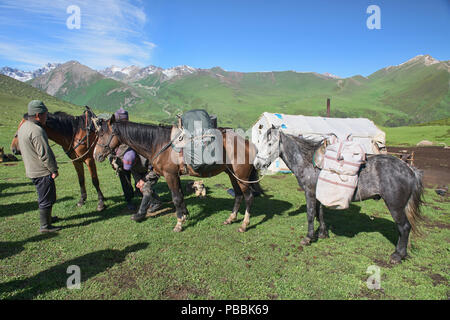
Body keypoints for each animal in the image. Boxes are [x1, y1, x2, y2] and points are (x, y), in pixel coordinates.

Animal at [93, 115, 262, 232]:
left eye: (101, 135)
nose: (96, 155)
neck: (158, 143)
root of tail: (249, 144)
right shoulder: (175, 175)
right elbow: (180, 196)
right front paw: (185, 216)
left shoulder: (170, 175)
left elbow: (176, 198)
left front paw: (179, 224)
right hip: (232, 175)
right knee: (239, 195)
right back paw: (231, 218)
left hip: (242, 178)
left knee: (248, 197)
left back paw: (244, 225)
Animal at [255, 126, 424, 264]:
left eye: (269, 144)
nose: (257, 164)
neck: (308, 162)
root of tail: (409, 169)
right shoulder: (318, 195)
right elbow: (320, 214)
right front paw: (322, 234)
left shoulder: (310, 193)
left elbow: (311, 214)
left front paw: (308, 238)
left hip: (395, 206)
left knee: (404, 227)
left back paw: (397, 255)